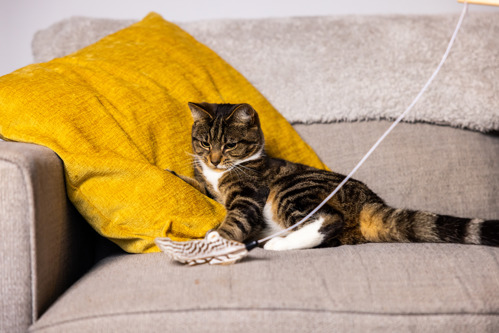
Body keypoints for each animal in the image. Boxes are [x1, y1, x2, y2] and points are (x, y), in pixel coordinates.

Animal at [169, 101, 499, 249]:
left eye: (230, 145)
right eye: (204, 143)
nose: (213, 159)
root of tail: (370, 201)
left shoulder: (249, 194)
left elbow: (237, 216)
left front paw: (217, 236)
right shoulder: (210, 186)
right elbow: (197, 184)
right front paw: (172, 173)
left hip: (292, 189)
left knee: (328, 220)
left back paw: (275, 243)